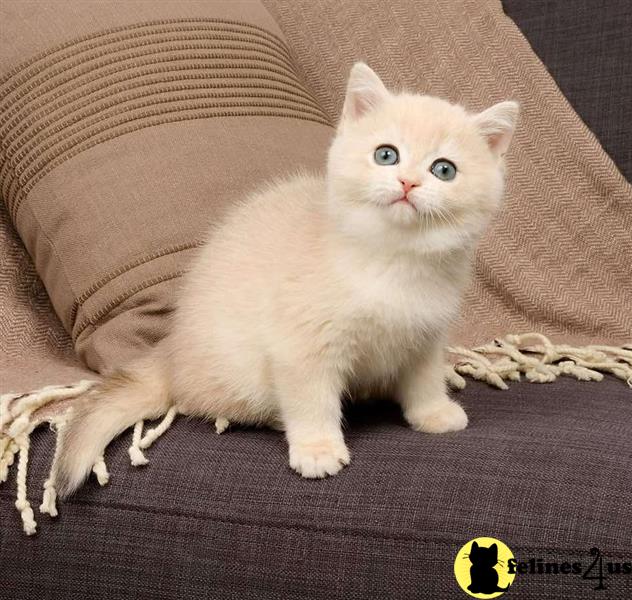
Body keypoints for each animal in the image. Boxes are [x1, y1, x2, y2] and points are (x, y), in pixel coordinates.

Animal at [55, 62, 520, 496]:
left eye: (444, 170)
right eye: (386, 155)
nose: (408, 183)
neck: (392, 260)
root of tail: (169, 351)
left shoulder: (426, 335)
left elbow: (423, 377)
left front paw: (433, 412)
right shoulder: (301, 344)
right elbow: (310, 399)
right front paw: (317, 449)